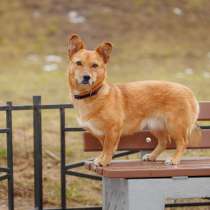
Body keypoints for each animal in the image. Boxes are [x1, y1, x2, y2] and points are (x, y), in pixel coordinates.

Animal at [67, 33, 202, 167]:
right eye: (78, 63)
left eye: (94, 65)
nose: (86, 77)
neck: (90, 95)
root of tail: (188, 90)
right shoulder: (100, 134)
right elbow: (103, 147)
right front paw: (100, 158)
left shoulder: (113, 129)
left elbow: (108, 148)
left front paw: (104, 161)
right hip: (155, 126)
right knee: (165, 142)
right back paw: (152, 156)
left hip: (175, 126)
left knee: (183, 142)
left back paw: (174, 159)